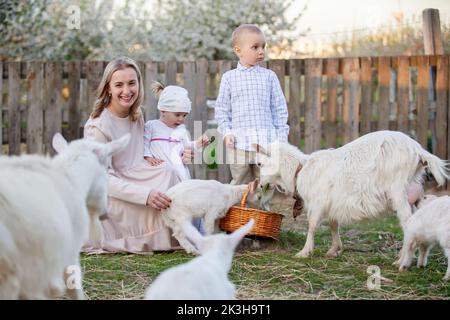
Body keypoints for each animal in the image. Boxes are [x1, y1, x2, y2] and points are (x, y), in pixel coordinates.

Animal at [253, 131, 450, 258]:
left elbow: (312, 225)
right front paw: (334, 249)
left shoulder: (318, 201)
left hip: (398, 190)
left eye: (260, 164)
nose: (261, 184)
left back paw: (401, 257)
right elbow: (333, 224)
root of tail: (418, 151)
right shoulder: (332, 202)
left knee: (407, 221)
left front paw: (304, 252)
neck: (300, 170)